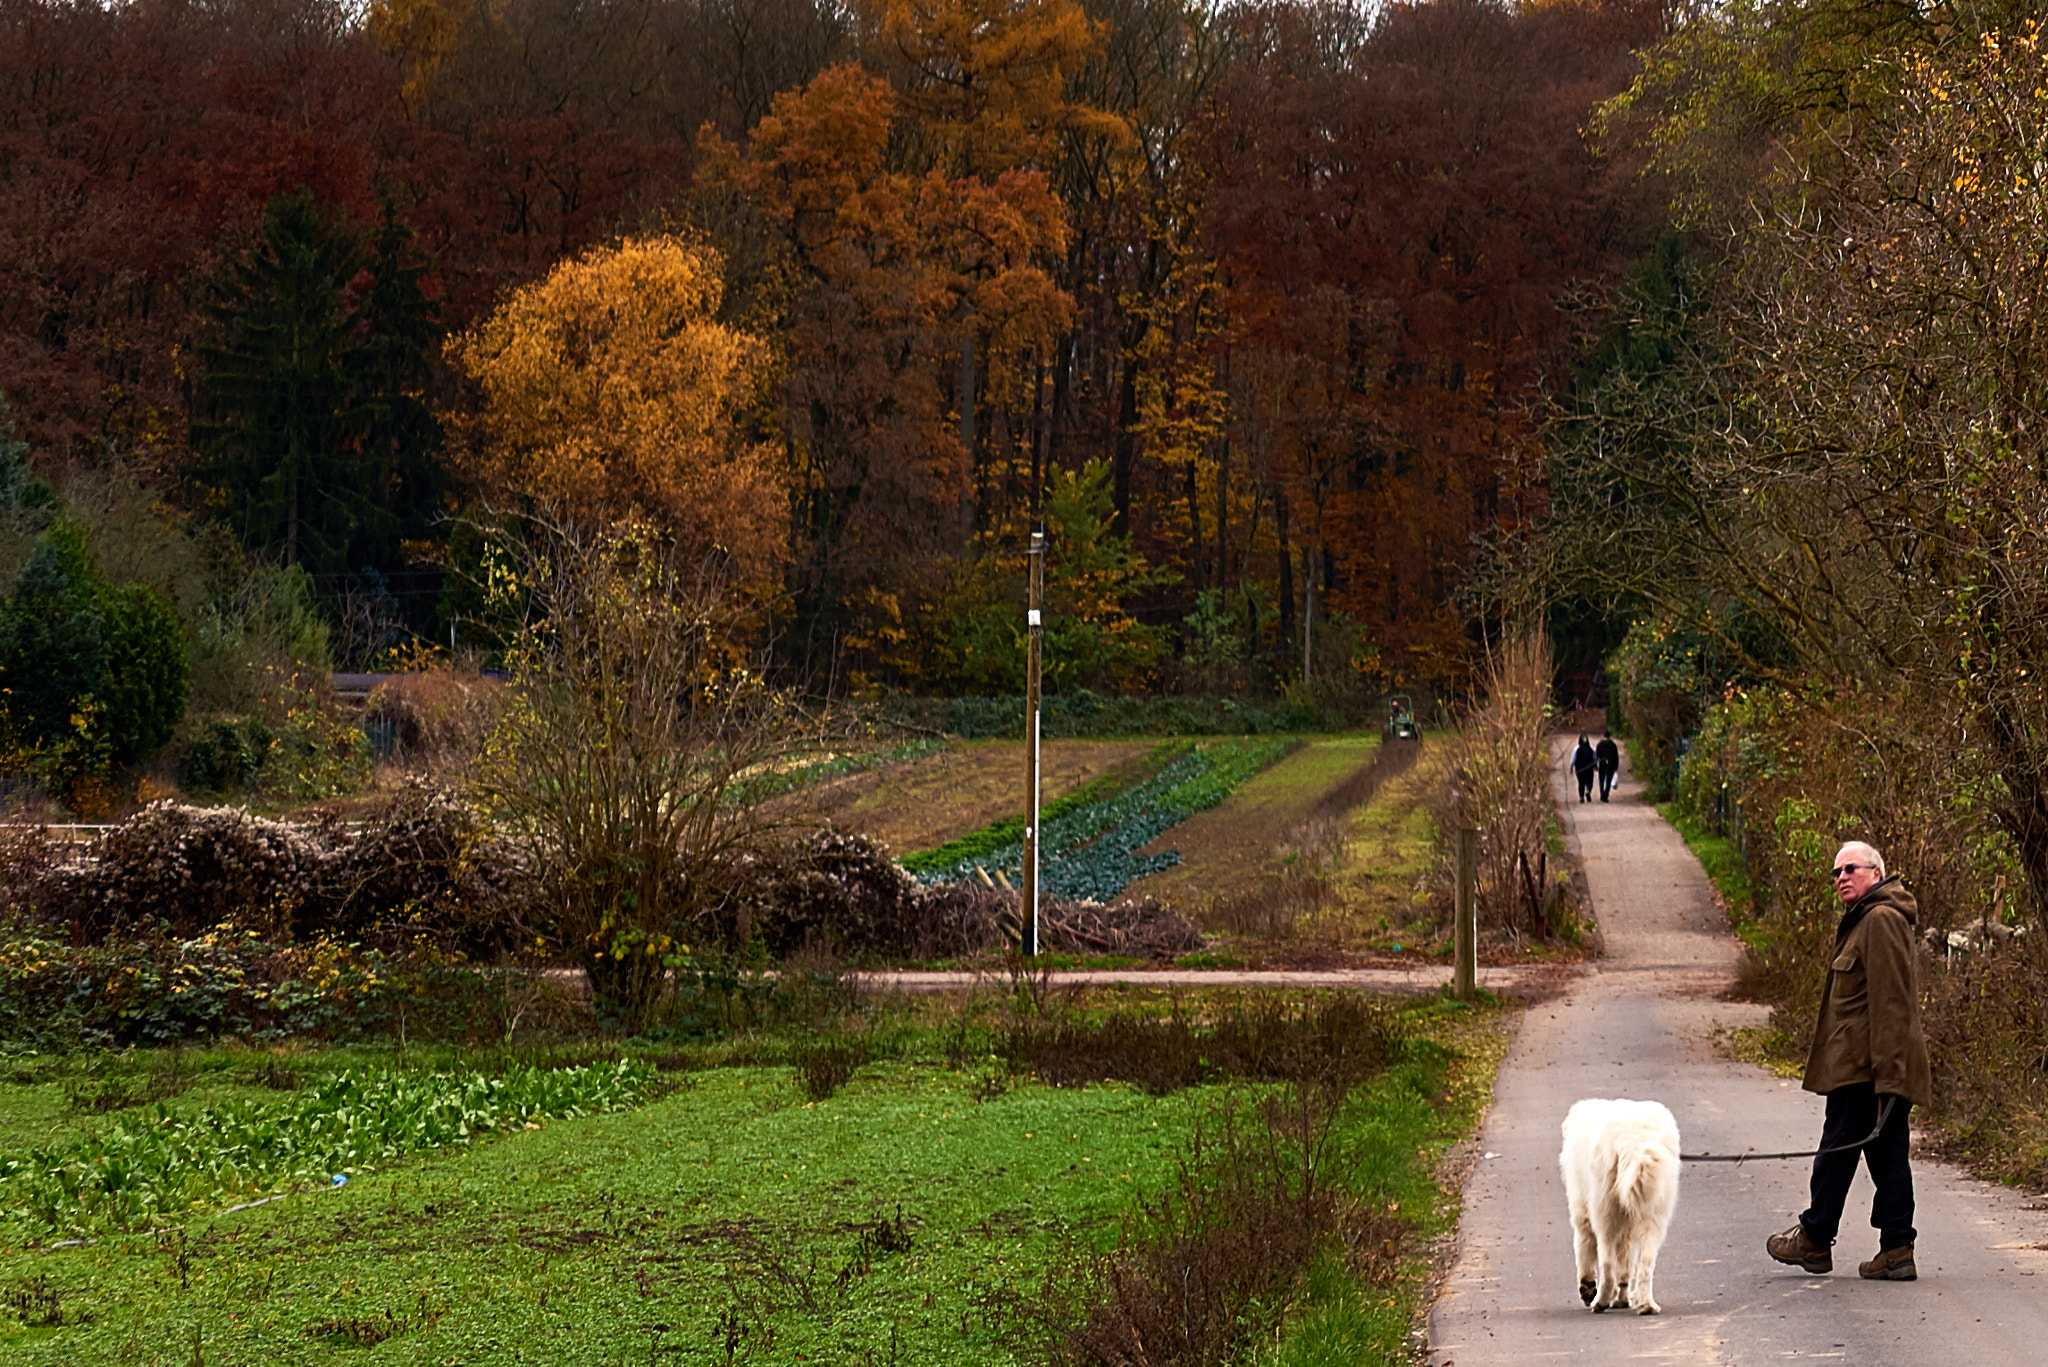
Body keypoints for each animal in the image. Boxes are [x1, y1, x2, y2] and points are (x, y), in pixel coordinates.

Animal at [1564, 1098, 1679, 1311]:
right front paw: (1623, 1298)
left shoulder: (1582, 1212)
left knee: (1607, 1262)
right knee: (1646, 1261)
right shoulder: (1627, 1226)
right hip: (1654, 1210)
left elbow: (1584, 1249)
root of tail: (1632, 1141)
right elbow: (1625, 1266)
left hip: (1604, 1209)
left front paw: (1587, 1288)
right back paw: (1646, 1305)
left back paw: (1600, 1301)